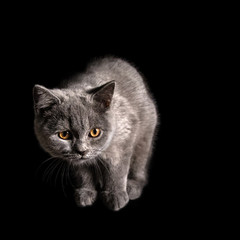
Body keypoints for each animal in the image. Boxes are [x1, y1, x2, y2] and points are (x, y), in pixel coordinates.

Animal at [32, 57, 158, 211]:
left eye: (95, 132)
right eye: (64, 135)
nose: (82, 150)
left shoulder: (123, 139)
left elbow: (117, 170)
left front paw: (115, 196)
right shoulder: (77, 162)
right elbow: (82, 173)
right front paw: (85, 194)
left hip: (145, 135)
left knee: (139, 163)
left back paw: (132, 186)